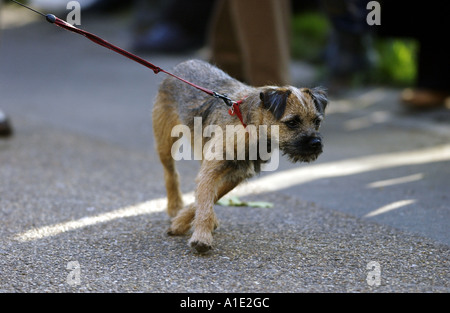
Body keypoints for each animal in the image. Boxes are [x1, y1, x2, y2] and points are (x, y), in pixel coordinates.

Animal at [152, 59, 326, 254]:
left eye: (317, 122)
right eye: (292, 122)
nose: (316, 143)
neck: (249, 128)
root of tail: (186, 62)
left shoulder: (234, 174)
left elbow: (209, 197)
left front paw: (184, 222)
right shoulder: (212, 170)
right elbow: (204, 201)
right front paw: (201, 235)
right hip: (166, 142)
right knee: (171, 173)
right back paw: (174, 206)